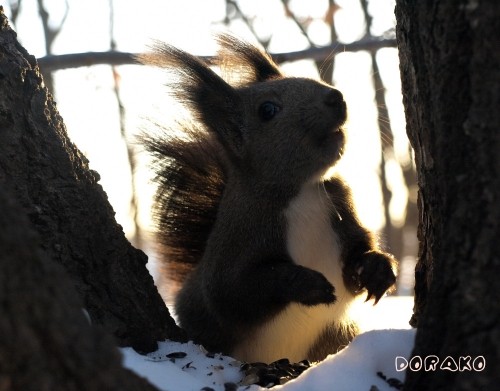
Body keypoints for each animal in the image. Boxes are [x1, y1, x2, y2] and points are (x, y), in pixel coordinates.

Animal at [142, 35, 398, 366]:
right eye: (267, 110)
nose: (336, 97)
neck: (302, 192)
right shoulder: (238, 238)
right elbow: (236, 292)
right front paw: (306, 283)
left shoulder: (342, 204)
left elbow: (356, 258)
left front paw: (376, 269)